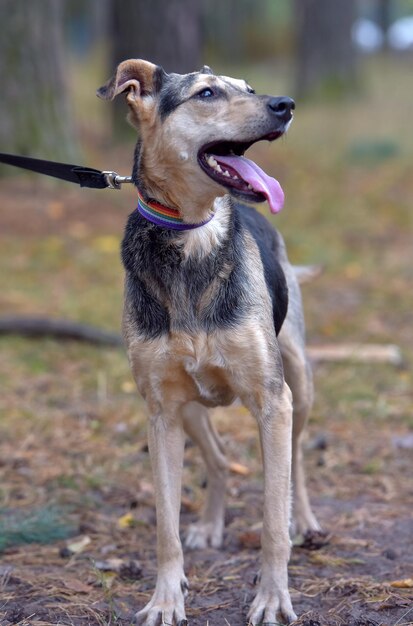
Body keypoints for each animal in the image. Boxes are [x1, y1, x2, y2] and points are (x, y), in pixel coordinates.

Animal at [97, 59, 322, 624]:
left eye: (249, 88)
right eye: (206, 94)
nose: (285, 104)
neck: (191, 238)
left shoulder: (273, 400)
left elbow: (271, 519)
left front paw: (272, 598)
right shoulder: (160, 410)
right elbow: (165, 524)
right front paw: (165, 597)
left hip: (299, 382)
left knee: (296, 458)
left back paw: (305, 521)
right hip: (191, 411)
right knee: (219, 462)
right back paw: (210, 524)